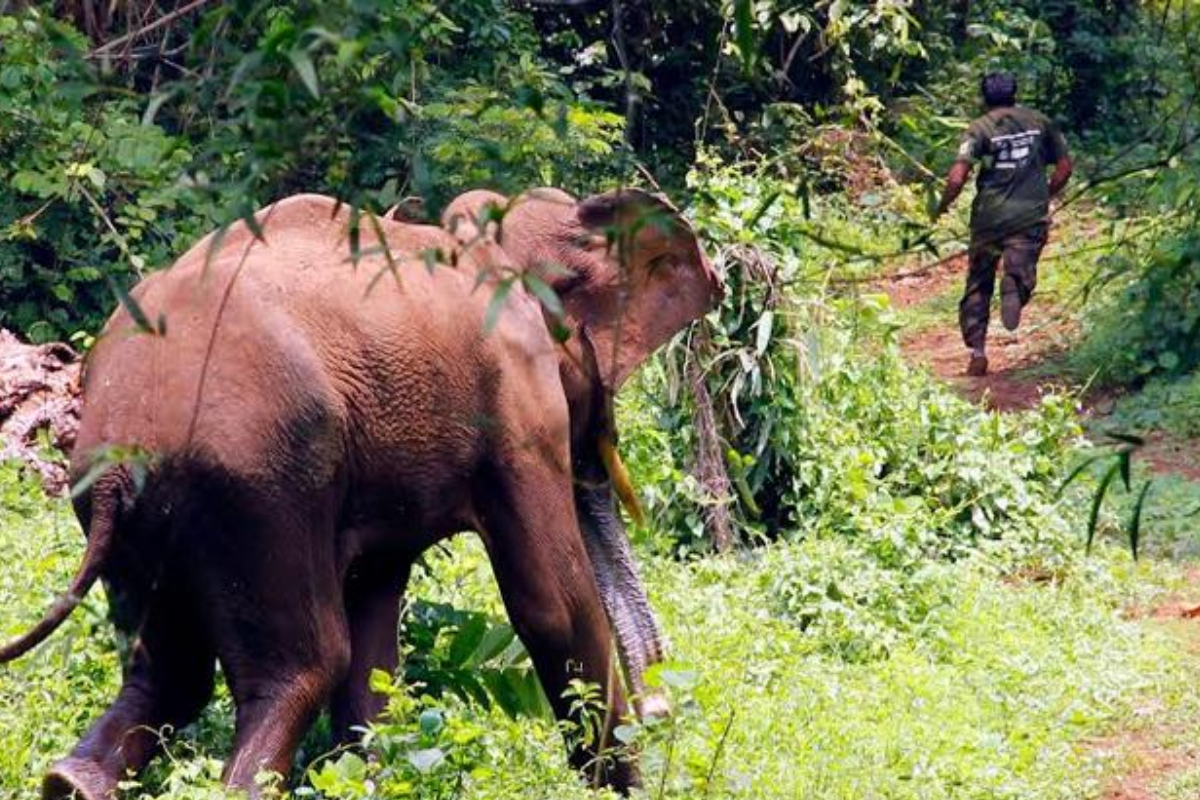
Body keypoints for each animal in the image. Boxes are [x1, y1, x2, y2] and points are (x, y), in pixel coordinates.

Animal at [0, 187, 721, 799]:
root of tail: (121, 456)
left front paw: (373, 777)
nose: (662, 710)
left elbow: (375, 622)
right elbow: (552, 606)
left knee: (171, 669)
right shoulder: (518, 409)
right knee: (308, 659)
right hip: (263, 486)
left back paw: (68, 782)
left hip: (145, 512)